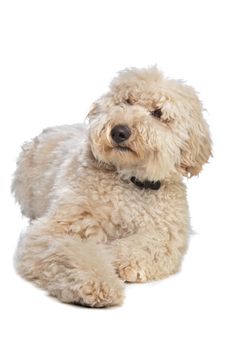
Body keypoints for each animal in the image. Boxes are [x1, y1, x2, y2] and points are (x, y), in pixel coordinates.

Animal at [11, 65, 212, 306]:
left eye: (158, 113)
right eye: (126, 101)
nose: (119, 131)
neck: (130, 181)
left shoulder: (167, 234)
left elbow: (149, 244)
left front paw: (116, 258)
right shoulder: (56, 230)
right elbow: (70, 253)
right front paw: (97, 283)